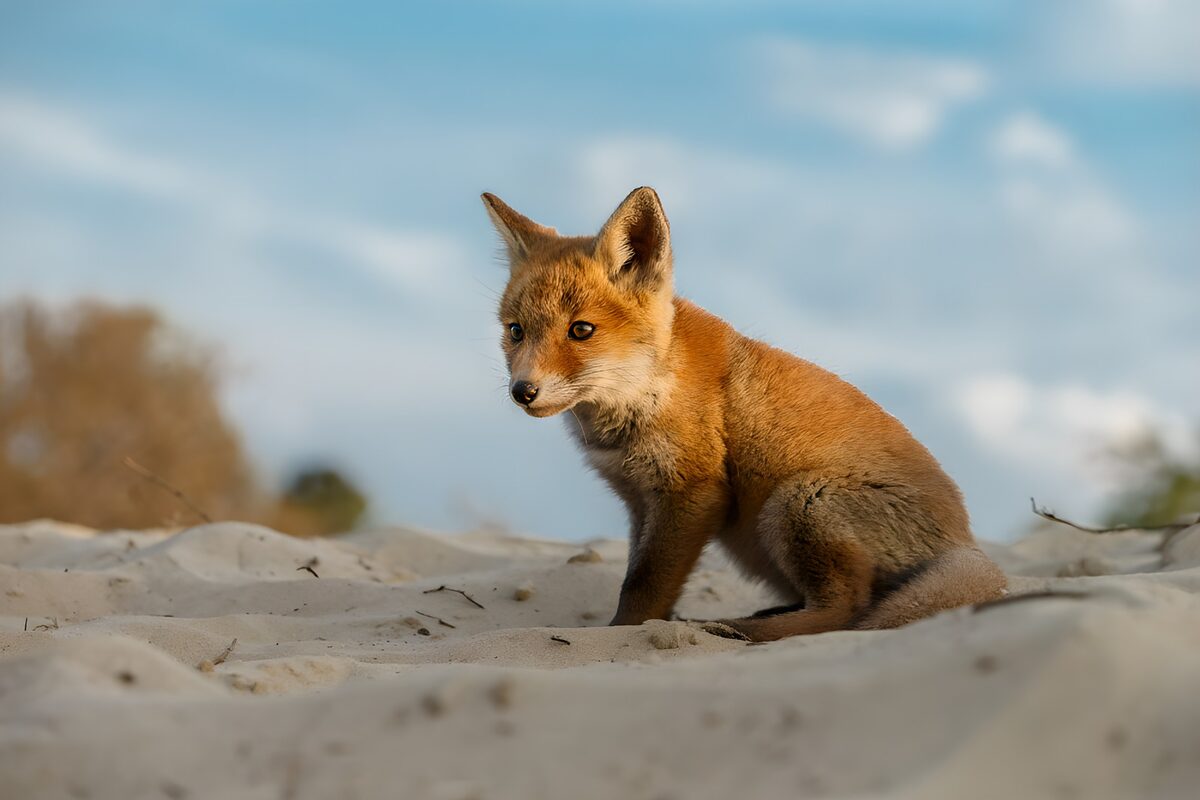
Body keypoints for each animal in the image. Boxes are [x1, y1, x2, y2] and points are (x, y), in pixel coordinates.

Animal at [482, 186, 1007, 641]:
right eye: (516, 330)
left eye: (581, 330)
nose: (522, 391)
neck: (647, 389)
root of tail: (966, 542)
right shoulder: (639, 501)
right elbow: (640, 576)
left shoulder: (694, 492)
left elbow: (643, 585)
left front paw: (619, 635)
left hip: (796, 501)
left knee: (847, 608)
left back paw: (743, 630)